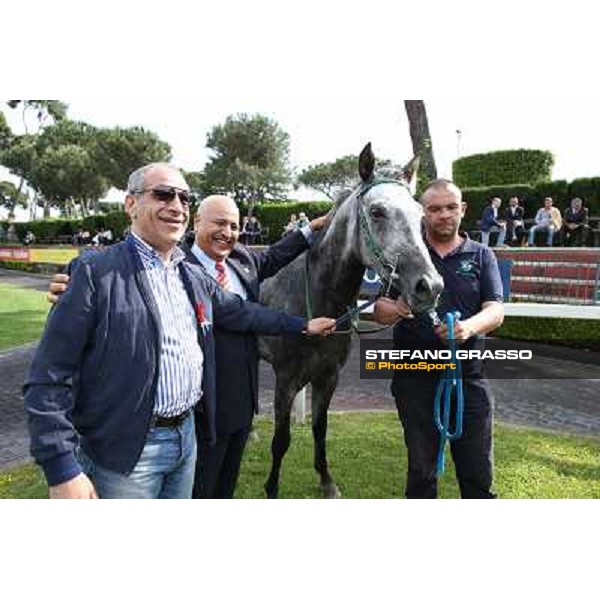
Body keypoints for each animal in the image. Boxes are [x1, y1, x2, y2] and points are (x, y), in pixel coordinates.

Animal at [260, 142, 442, 496]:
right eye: (377, 212)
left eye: (420, 215)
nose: (429, 286)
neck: (318, 301)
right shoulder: (286, 379)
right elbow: (281, 439)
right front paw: (271, 488)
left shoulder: (328, 377)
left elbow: (320, 429)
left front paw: (327, 482)